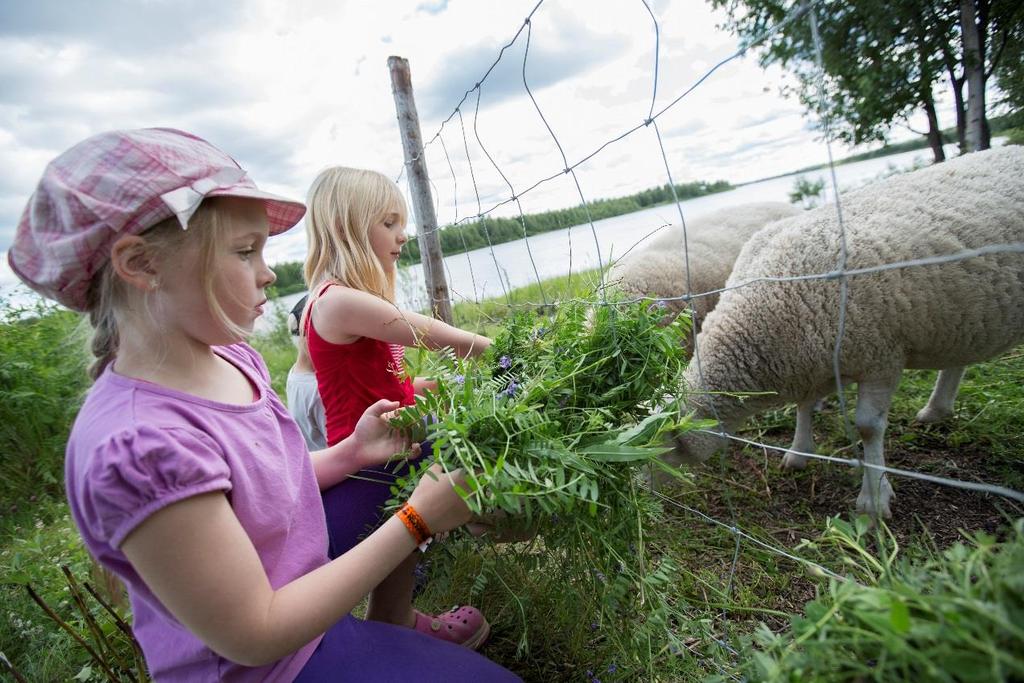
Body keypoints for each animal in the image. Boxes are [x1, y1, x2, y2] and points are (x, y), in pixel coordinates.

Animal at [667, 144, 1024, 518]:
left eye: (660, 446)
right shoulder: (813, 363)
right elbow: (805, 405)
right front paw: (799, 452)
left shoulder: (881, 357)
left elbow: (867, 427)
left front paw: (874, 498)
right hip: (961, 314)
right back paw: (936, 409)